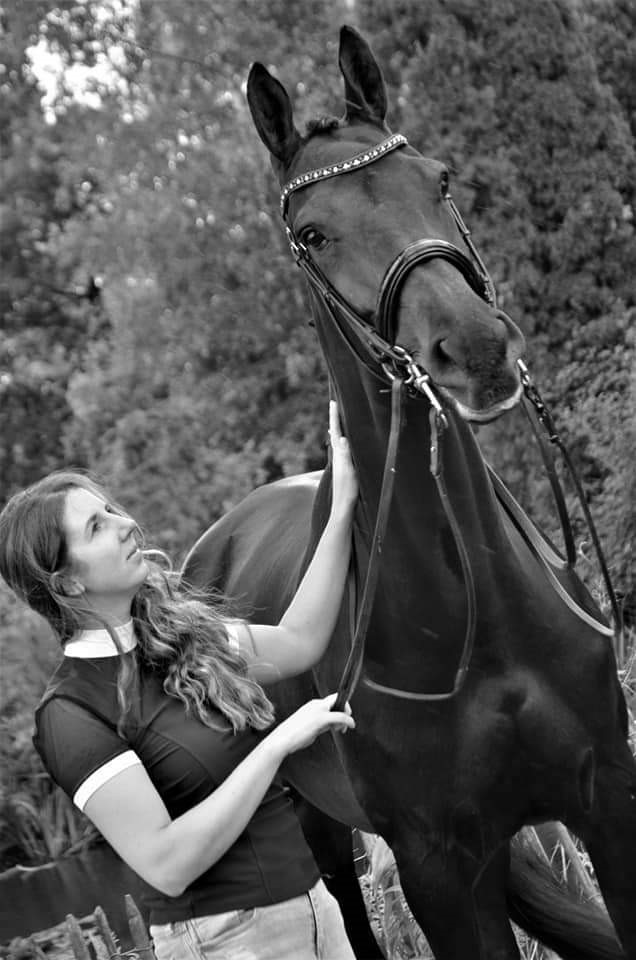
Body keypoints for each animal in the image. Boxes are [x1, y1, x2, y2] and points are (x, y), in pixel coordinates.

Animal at [183, 26, 636, 960]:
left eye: (441, 179)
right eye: (313, 232)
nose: (476, 349)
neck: (478, 619)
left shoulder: (608, 800)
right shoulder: (440, 872)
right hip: (312, 831)